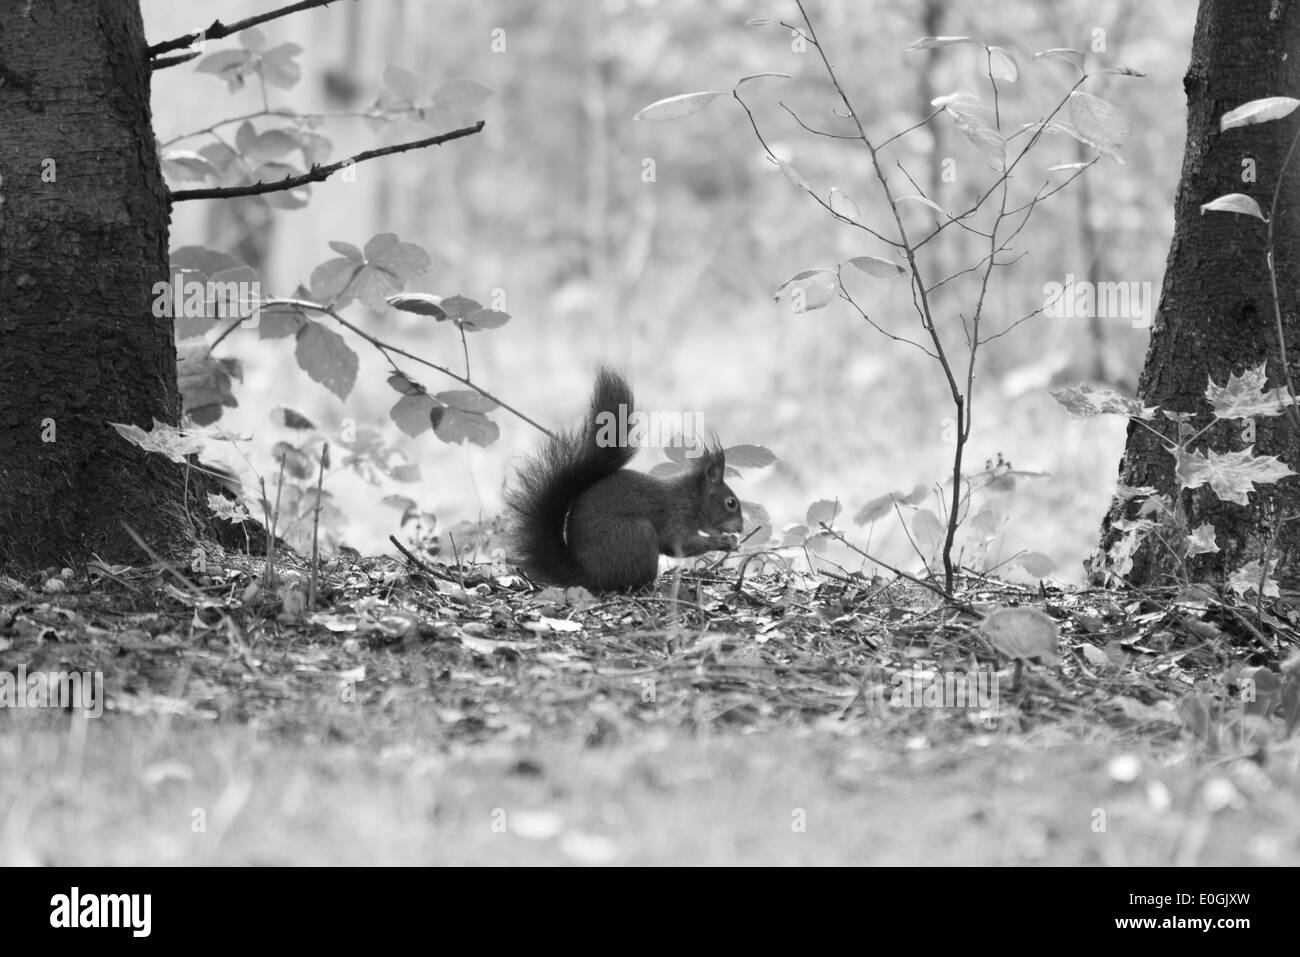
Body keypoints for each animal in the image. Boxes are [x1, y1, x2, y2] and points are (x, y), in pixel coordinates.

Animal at [506, 368, 744, 592]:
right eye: (731, 503)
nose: (741, 528)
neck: (691, 497)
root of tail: (586, 576)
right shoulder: (676, 518)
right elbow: (682, 544)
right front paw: (723, 542)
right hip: (637, 533)